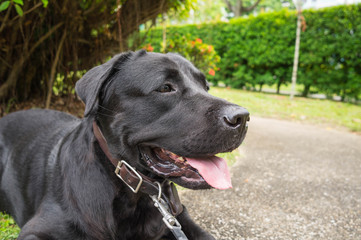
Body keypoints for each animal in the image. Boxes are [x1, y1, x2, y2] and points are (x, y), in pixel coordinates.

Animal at [0, 49, 248, 239]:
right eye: (165, 88)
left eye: (205, 87)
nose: (242, 117)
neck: (136, 195)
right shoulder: (39, 229)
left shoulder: (181, 220)